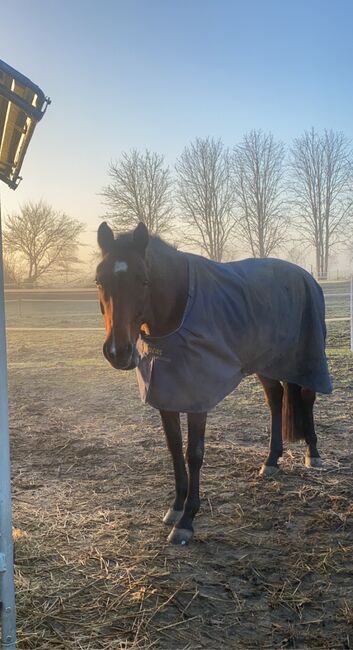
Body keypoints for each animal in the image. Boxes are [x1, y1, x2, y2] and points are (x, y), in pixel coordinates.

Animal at [95, 220, 332, 544]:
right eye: (99, 281)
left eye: (143, 280)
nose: (118, 352)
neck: (181, 307)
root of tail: (305, 275)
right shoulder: (166, 395)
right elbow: (174, 448)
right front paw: (175, 507)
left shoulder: (198, 398)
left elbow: (193, 453)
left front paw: (187, 520)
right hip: (266, 362)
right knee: (275, 399)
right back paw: (271, 460)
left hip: (306, 355)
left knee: (307, 397)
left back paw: (313, 454)